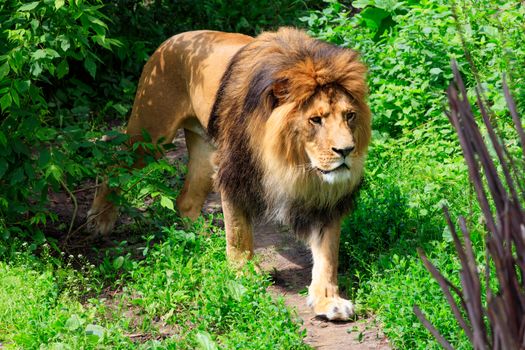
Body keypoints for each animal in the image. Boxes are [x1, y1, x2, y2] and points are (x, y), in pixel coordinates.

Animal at [89, 28, 368, 322]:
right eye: (315, 119)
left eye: (349, 116)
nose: (346, 150)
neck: (292, 161)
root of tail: (174, 38)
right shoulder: (235, 172)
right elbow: (238, 231)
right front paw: (243, 273)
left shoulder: (327, 197)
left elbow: (328, 253)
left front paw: (329, 300)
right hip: (150, 134)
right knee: (113, 168)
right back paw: (99, 220)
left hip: (204, 152)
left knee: (186, 201)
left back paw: (202, 239)